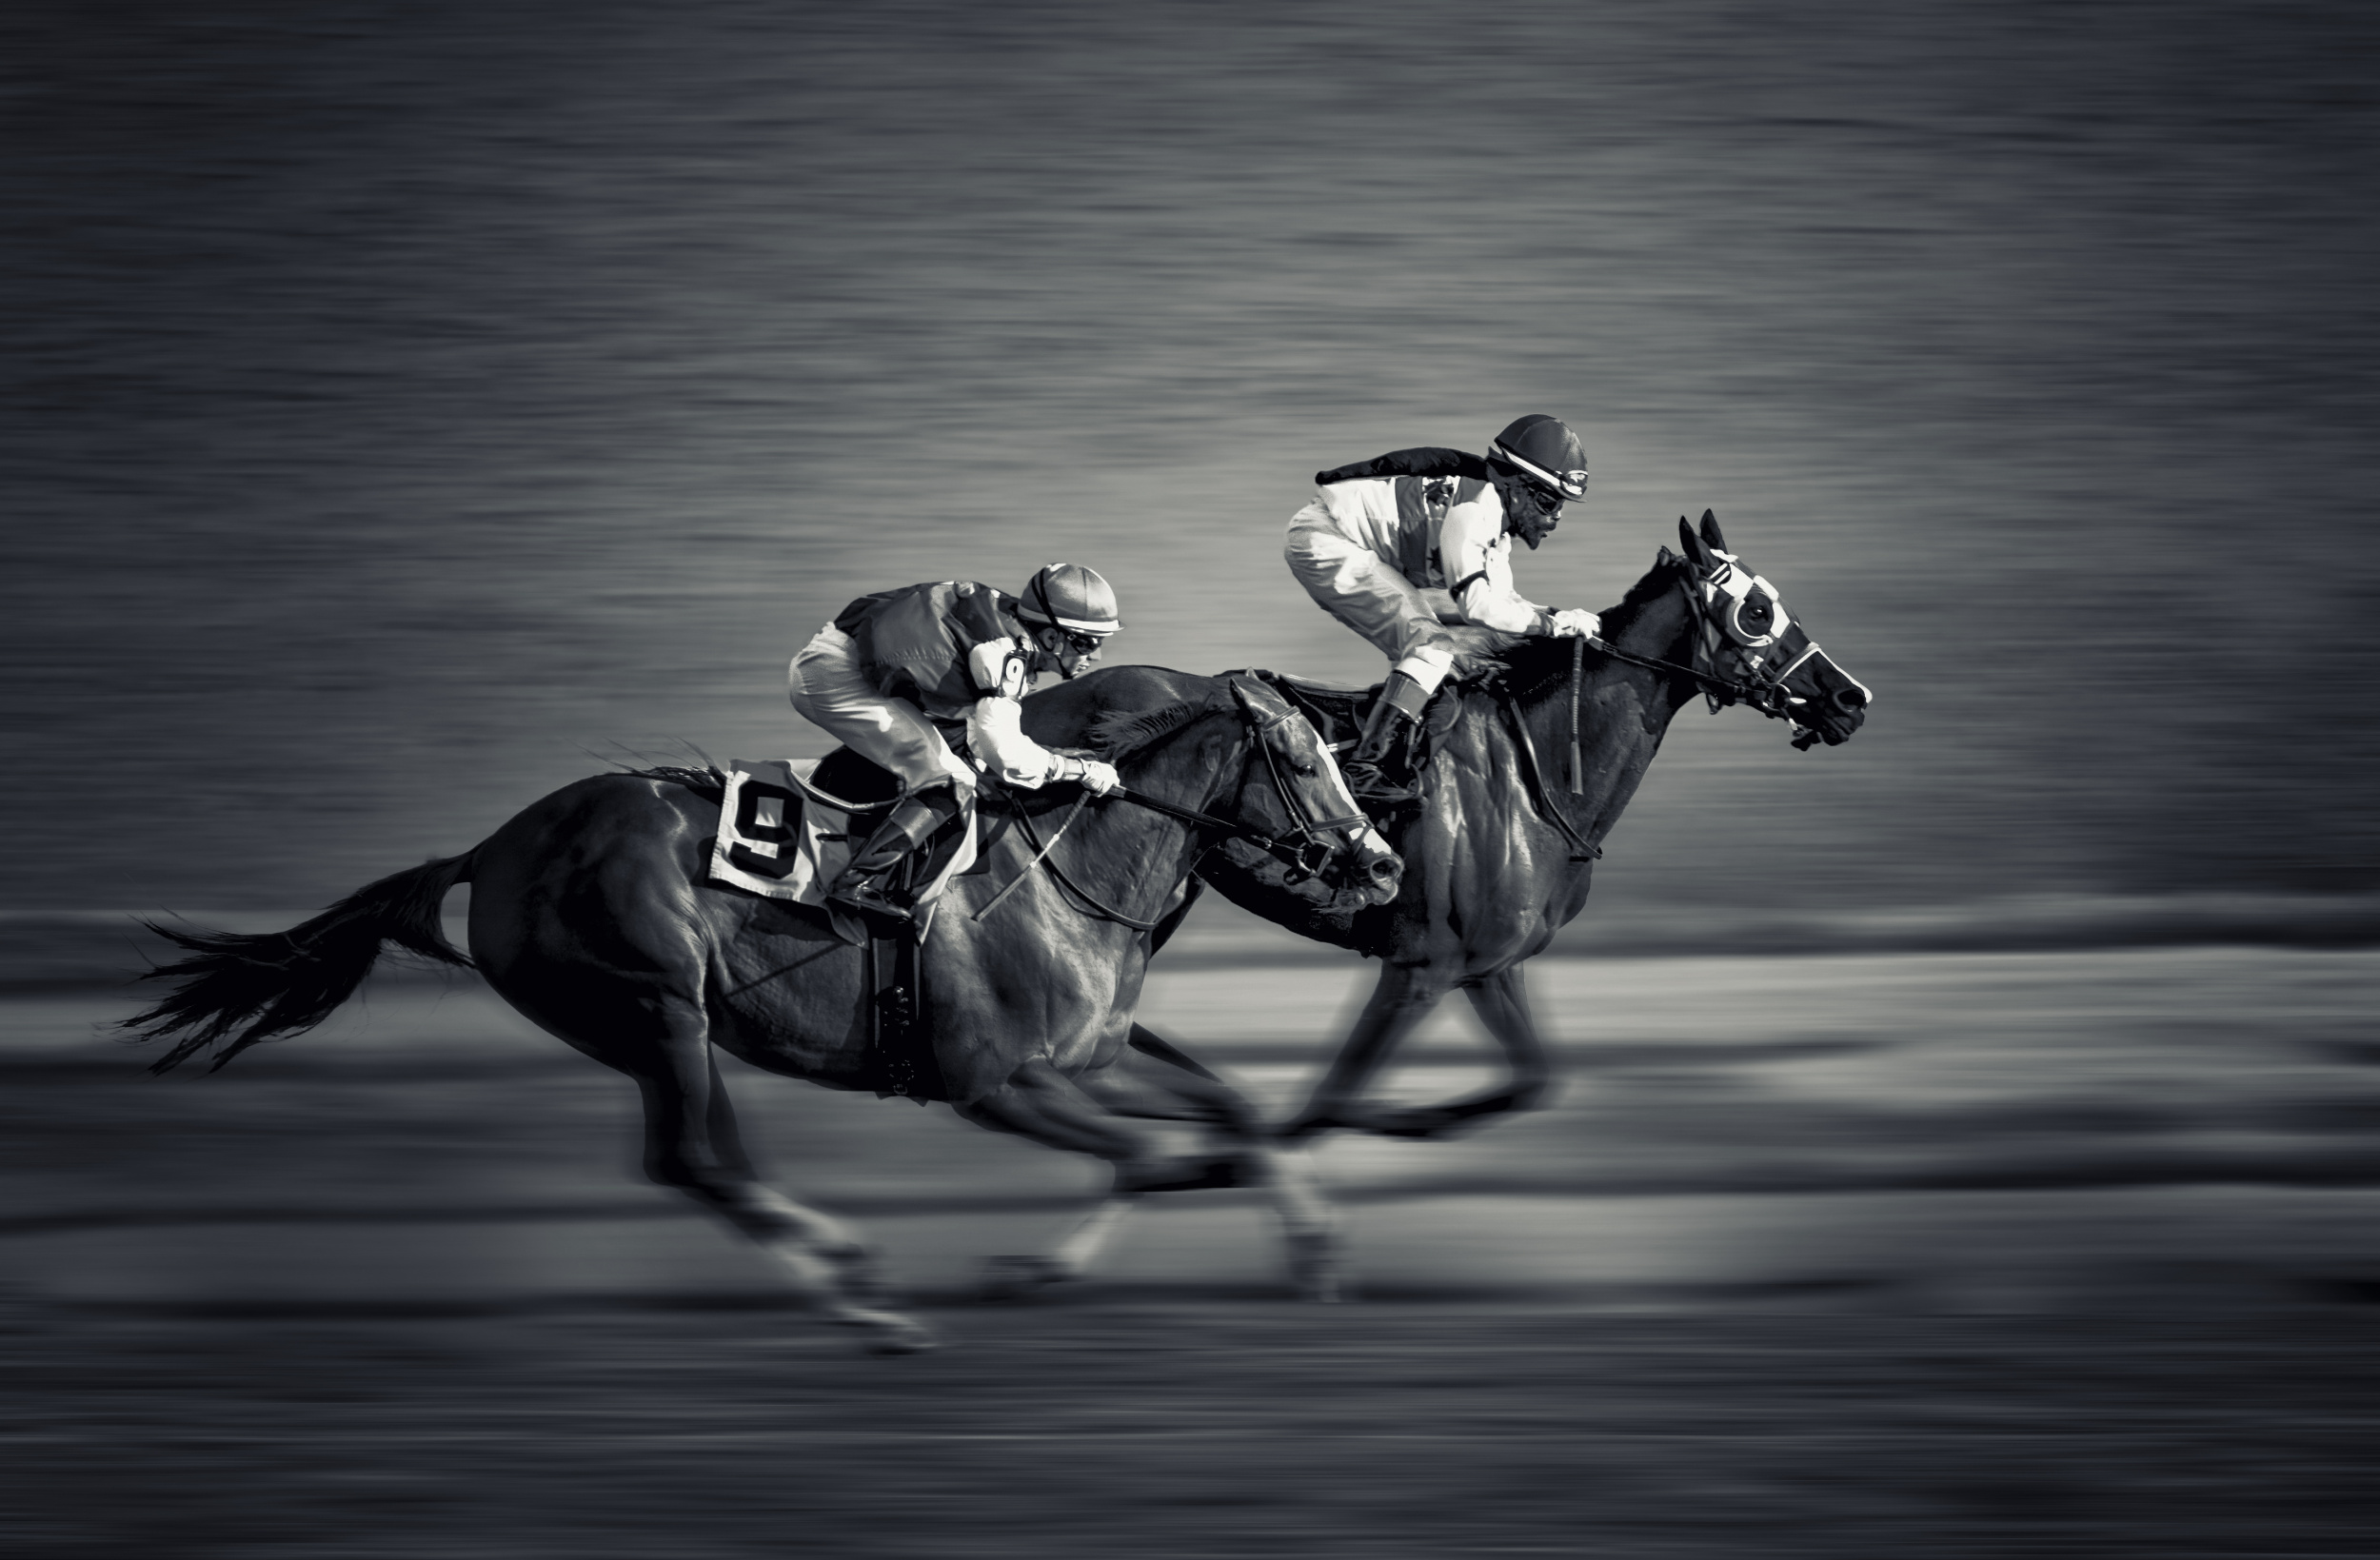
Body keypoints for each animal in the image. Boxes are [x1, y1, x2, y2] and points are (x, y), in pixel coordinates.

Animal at [122, 670, 1402, 1352]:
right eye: (1303, 758)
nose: (1383, 864)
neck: (1065, 864)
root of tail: (493, 849)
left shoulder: (1090, 1055)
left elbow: (1235, 1109)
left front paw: (1319, 1250)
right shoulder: (997, 1086)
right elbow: (1146, 1158)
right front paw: (1031, 1270)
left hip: (661, 1027)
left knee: (703, 1158)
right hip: (653, 1006)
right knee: (695, 1158)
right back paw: (865, 1293)